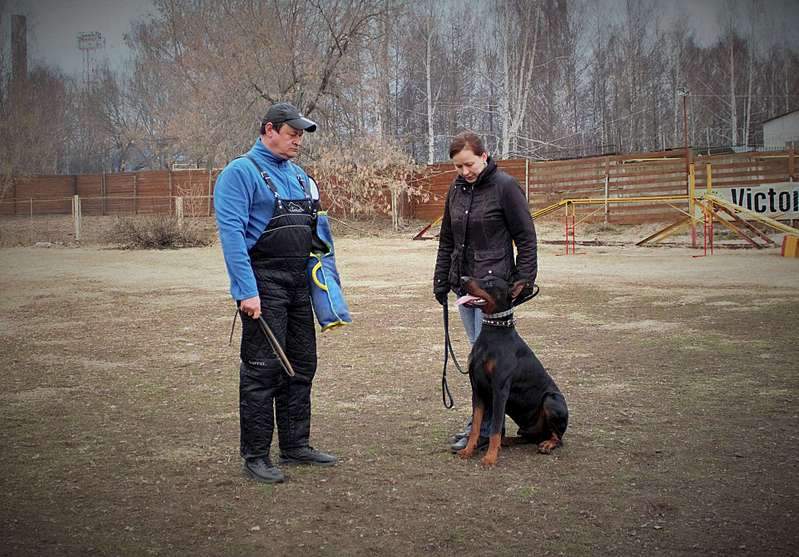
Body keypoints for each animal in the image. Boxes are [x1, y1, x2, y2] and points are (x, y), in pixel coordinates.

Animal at [456, 274, 568, 464]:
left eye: (490, 282)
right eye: (482, 276)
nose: (462, 278)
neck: (492, 333)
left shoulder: (500, 389)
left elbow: (494, 428)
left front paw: (490, 458)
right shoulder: (477, 389)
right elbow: (476, 426)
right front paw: (468, 450)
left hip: (552, 399)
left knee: (558, 438)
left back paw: (547, 444)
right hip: (528, 427)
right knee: (527, 437)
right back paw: (506, 441)